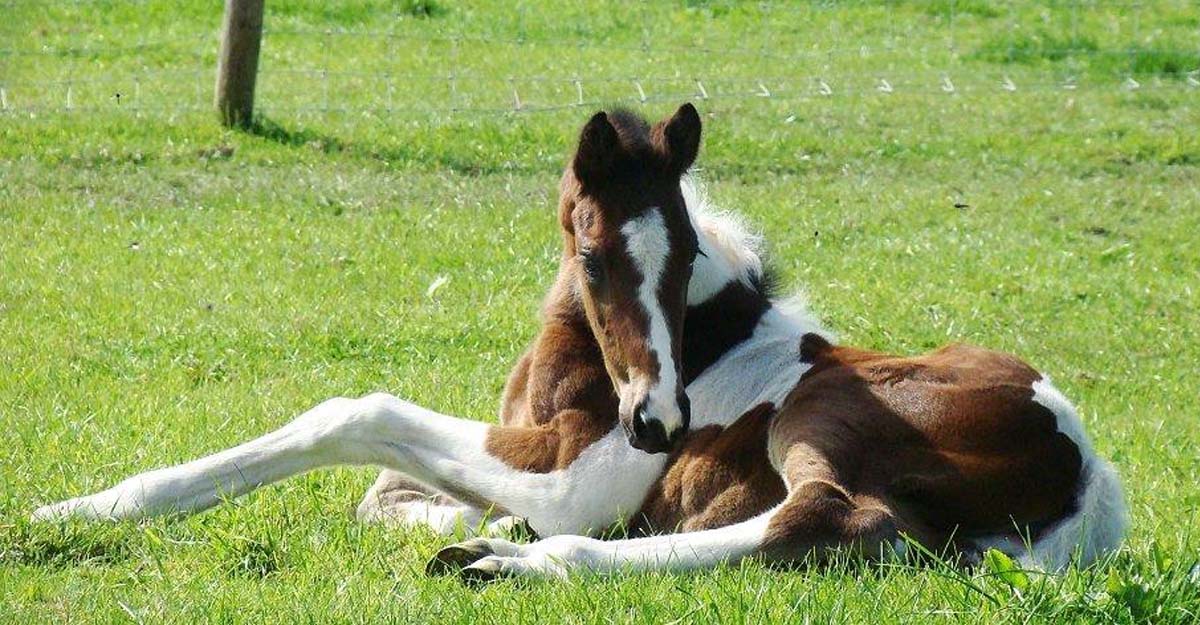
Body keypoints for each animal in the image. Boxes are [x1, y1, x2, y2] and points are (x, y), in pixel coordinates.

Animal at [35, 103, 1123, 580]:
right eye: (596, 259)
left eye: (686, 256)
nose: (658, 424)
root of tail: (1087, 488)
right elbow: (379, 494)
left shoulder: (575, 476)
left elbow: (354, 413)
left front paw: (78, 509)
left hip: (825, 407)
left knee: (826, 519)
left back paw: (518, 563)